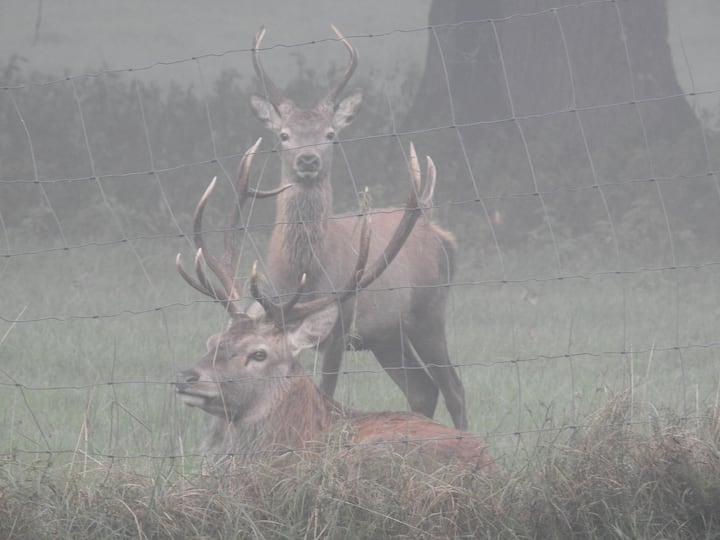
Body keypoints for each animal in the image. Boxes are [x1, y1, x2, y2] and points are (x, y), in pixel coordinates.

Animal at [174, 144, 496, 472]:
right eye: (212, 341)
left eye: (259, 353)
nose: (186, 377)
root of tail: (486, 461)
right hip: (387, 339)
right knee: (421, 388)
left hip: (423, 329)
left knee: (452, 386)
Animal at [250, 26, 470, 430]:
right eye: (284, 135)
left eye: (330, 133)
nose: (308, 160)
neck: (305, 273)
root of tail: (441, 236)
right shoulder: (280, 324)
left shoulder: (339, 325)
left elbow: (325, 394)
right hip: (387, 334)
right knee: (422, 388)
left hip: (428, 312)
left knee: (453, 386)